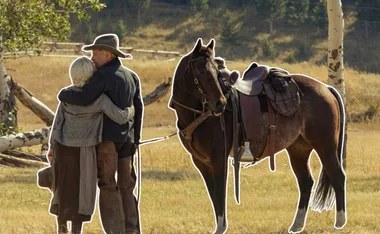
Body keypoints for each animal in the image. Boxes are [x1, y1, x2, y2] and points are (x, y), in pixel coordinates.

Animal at [168, 38, 346, 234]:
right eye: (201, 70)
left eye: (216, 71)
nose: (220, 103)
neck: (199, 115)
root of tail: (326, 88)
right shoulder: (201, 162)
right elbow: (213, 194)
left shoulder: (218, 159)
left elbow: (220, 193)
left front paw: (221, 227)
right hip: (298, 150)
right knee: (306, 182)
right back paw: (297, 224)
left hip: (326, 146)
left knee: (337, 177)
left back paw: (340, 222)